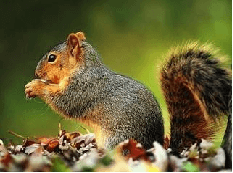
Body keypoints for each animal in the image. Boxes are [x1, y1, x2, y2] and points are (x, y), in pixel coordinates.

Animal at [24, 31, 231, 154]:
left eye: (52, 58)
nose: (37, 72)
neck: (83, 68)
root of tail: (153, 146)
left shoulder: (82, 88)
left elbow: (64, 102)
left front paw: (35, 86)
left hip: (117, 140)